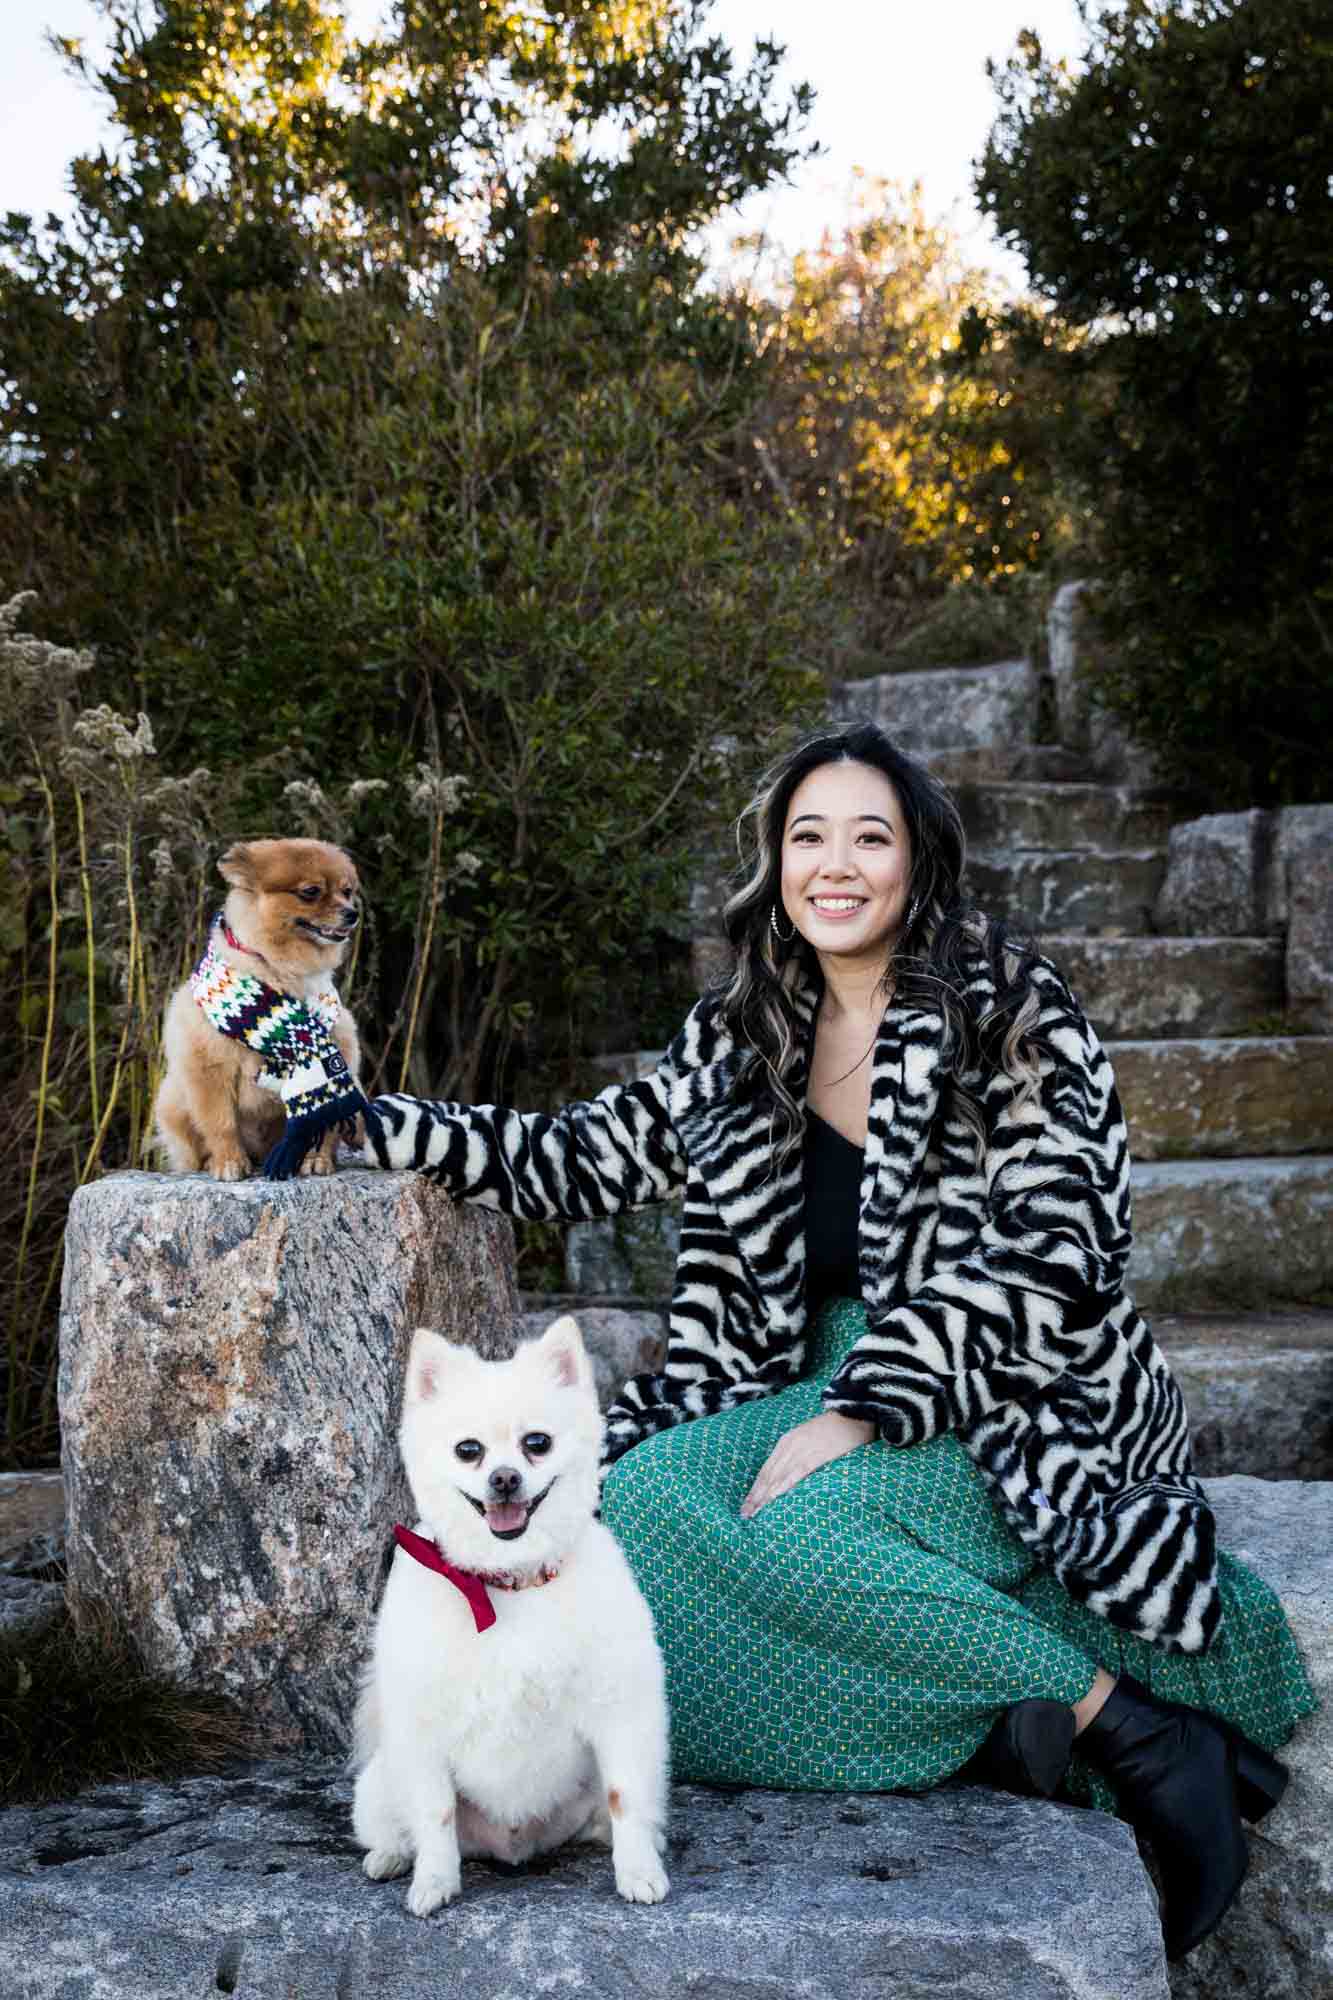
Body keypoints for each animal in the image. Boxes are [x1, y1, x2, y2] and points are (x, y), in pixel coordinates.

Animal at [155, 836, 360, 1176]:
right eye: (311, 892)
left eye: (347, 891)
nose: (352, 913)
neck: (280, 969)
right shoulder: (208, 1067)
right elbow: (220, 1123)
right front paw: (229, 1162)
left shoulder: (341, 1047)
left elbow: (325, 1122)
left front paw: (315, 1159)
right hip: (173, 1101)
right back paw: (213, 1160)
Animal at [350, 1320, 668, 1912]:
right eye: (468, 1450)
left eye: (536, 1443)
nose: (503, 1477)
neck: (509, 1584)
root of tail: (513, 1847)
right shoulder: (423, 1731)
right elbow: (435, 1812)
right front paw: (434, 1882)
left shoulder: (621, 1711)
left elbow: (626, 1797)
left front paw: (637, 1871)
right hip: (379, 1785)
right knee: (397, 1826)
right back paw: (391, 1858)